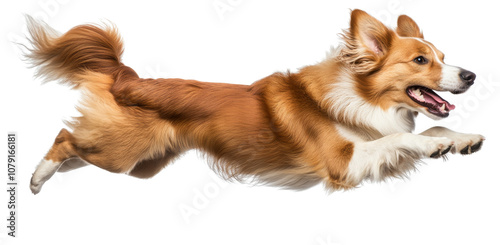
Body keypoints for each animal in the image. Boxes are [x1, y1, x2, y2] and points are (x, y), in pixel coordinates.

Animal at [27, 9, 484, 195]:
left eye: (443, 56)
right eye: (421, 60)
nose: (471, 75)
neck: (360, 96)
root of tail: (130, 78)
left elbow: (432, 125)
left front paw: (460, 139)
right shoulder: (343, 163)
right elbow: (399, 139)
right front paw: (434, 144)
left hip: (142, 163)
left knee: (77, 147)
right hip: (123, 153)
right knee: (65, 137)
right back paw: (35, 178)